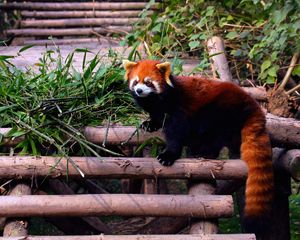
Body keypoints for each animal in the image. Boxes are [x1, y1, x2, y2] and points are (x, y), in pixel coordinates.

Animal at [122, 58, 274, 236]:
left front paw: (168, 155)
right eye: (135, 81)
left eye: (148, 82)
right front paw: (150, 124)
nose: (139, 90)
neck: (158, 100)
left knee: (214, 134)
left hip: (220, 109)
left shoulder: (179, 108)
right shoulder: (157, 109)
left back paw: (204, 152)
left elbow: (176, 133)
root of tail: (252, 104)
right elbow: (157, 118)